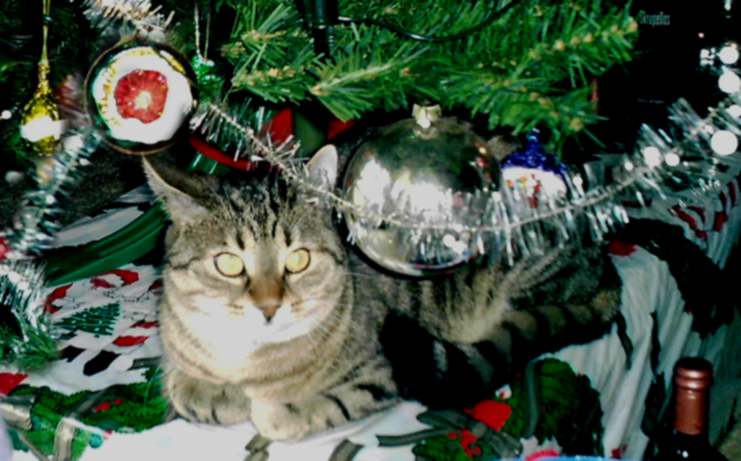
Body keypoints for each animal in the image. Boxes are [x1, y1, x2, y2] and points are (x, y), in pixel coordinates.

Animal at [142, 145, 622, 441]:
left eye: (298, 260)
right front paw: (207, 392)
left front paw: (277, 410)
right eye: (228, 264)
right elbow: (180, 382)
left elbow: (323, 404)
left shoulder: (379, 373)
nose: (269, 307)